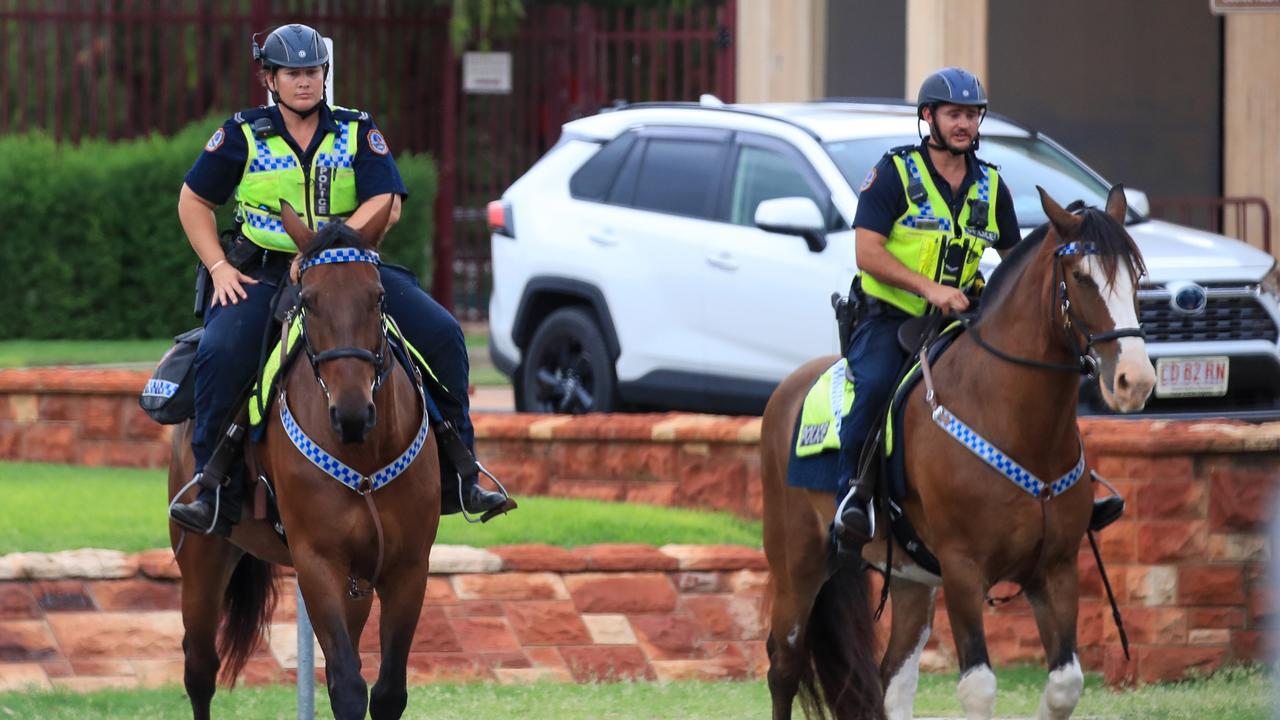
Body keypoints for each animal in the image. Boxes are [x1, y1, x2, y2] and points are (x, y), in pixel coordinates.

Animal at [167, 198, 437, 717]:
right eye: (308, 301)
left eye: (378, 297)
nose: (351, 413)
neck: (363, 454)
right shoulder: (316, 561)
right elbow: (347, 686)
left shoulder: (409, 564)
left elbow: (387, 689)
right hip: (202, 558)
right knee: (199, 670)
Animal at [757, 185, 1162, 717]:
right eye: (1080, 277)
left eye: (1136, 277)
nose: (1135, 381)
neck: (1016, 423)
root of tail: (787, 389)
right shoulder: (963, 571)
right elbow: (979, 686)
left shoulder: (1055, 569)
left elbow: (1064, 684)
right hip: (797, 565)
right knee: (784, 666)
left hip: (911, 580)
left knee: (893, 679)